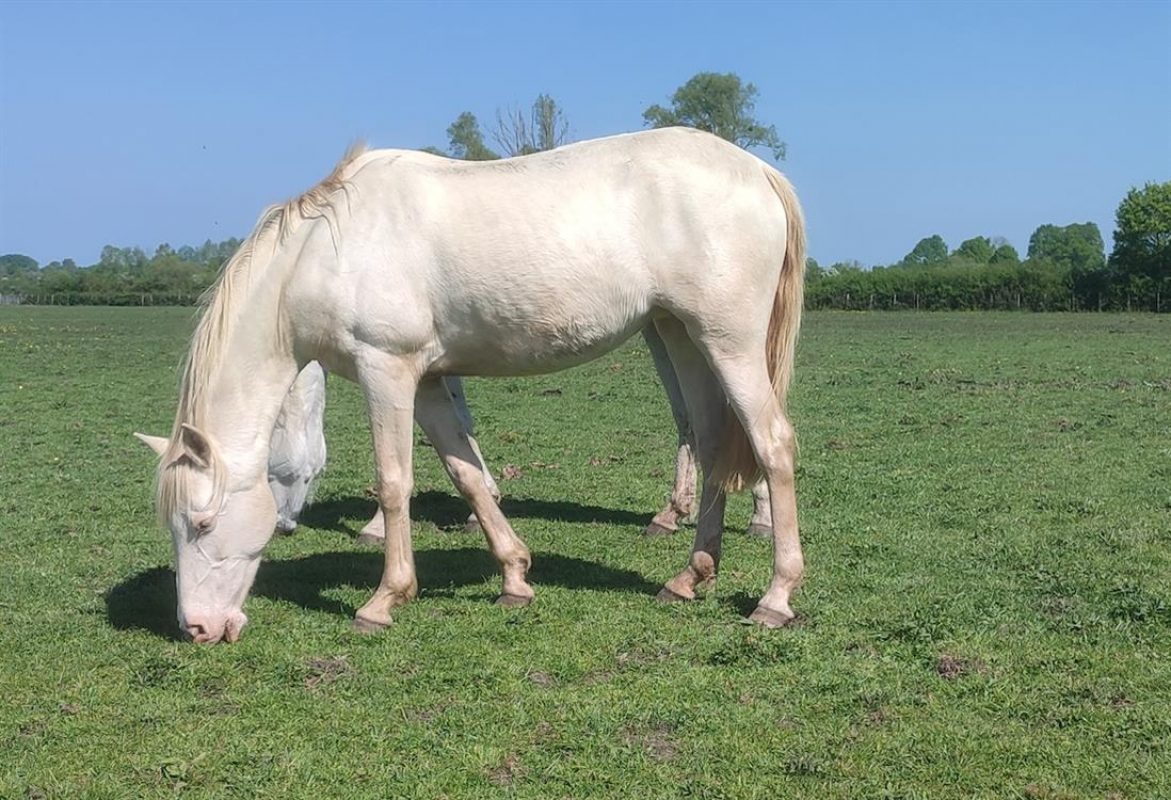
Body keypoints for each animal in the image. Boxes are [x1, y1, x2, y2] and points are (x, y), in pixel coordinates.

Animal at [135, 127, 806, 644]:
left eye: (200, 523)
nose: (197, 628)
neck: (325, 249)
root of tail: (759, 171)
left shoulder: (387, 371)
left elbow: (394, 484)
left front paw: (384, 600)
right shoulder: (430, 382)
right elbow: (469, 476)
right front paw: (514, 579)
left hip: (728, 343)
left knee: (772, 444)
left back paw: (774, 598)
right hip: (680, 336)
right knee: (715, 443)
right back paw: (690, 577)